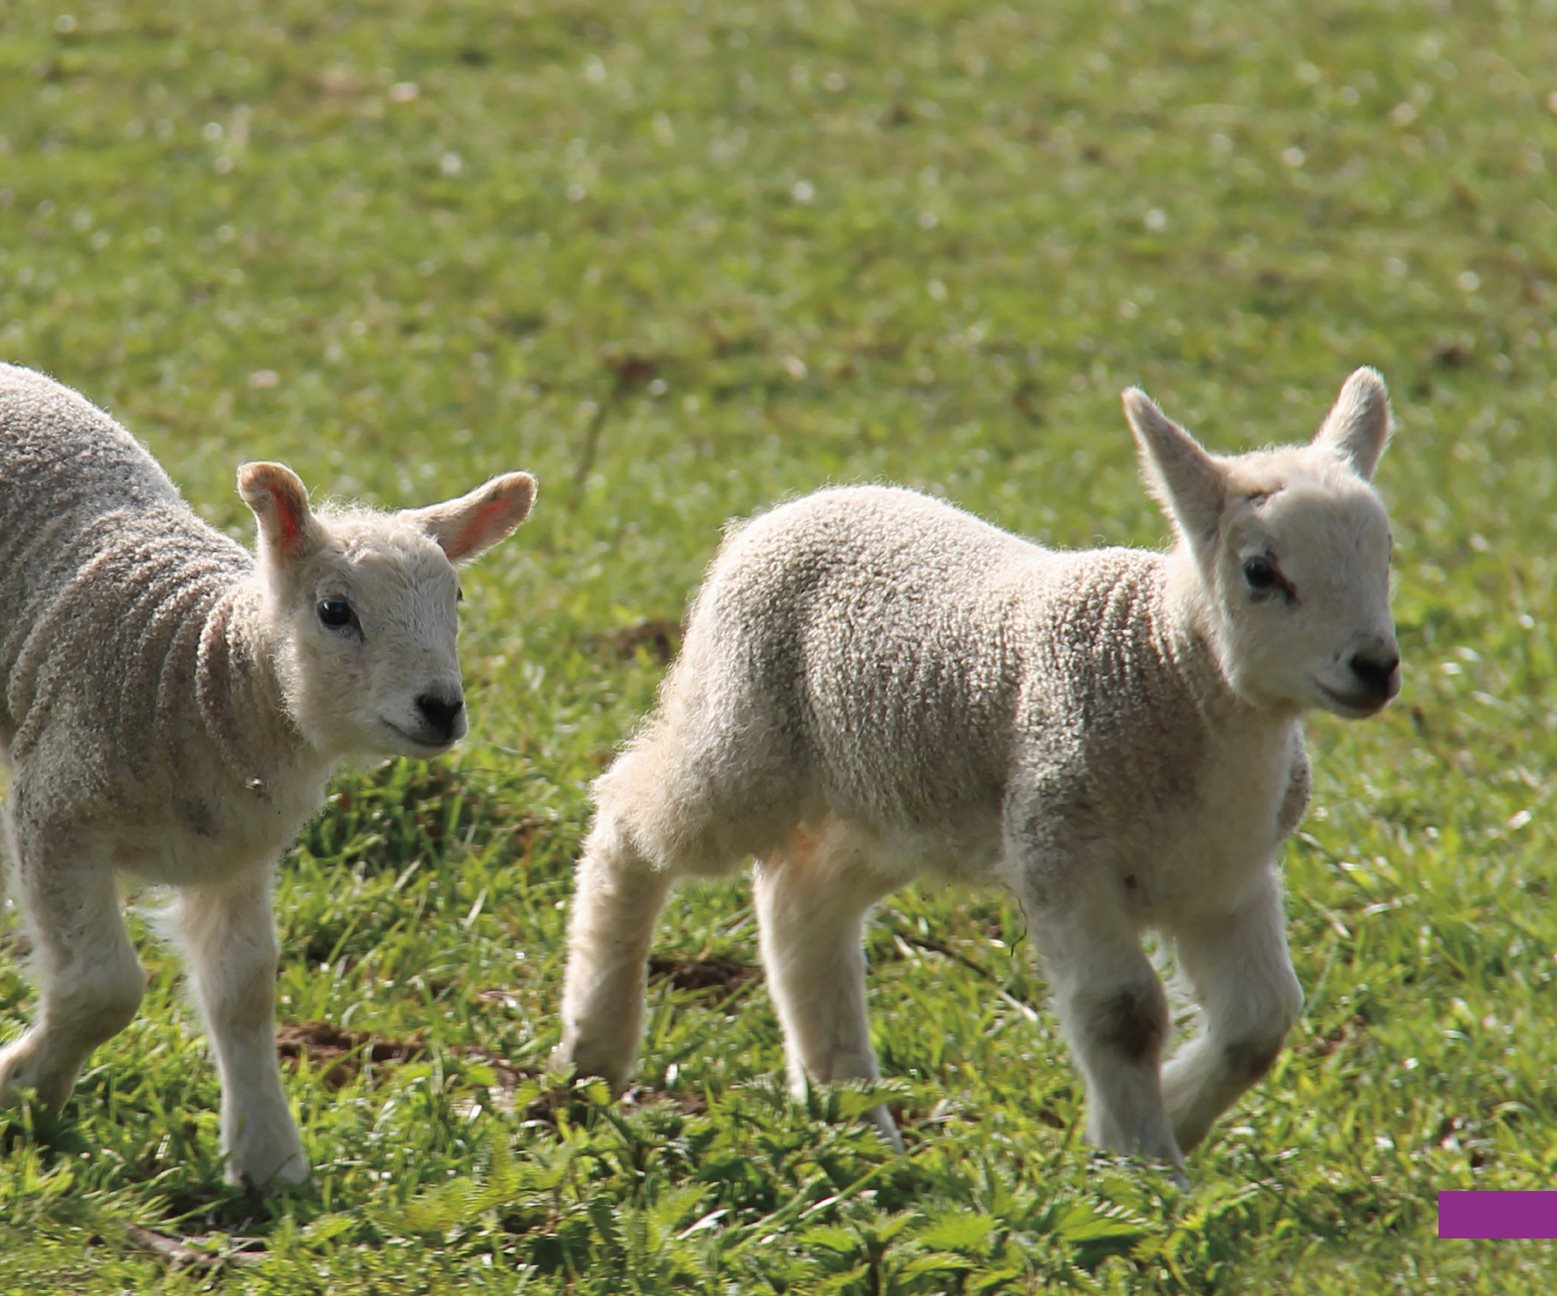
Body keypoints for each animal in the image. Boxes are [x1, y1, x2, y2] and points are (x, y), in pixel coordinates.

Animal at [0, 361, 535, 1183]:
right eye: (335, 610)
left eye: (458, 597)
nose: (442, 708)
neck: (199, 666)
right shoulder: (57, 807)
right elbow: (103, 988)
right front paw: (25, 1089)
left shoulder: (237, 848)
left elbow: (243, 991)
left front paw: (268, 1161)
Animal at [557, 367, 1401, 1183]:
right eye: (1260, 572)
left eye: (1386, 556)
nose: (1375, 667)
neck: (1170, 667)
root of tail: (785, 510)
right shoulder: (1058, 847)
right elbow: (1123, 1014)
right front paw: (1145, 1174)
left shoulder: (1225, 875)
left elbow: (1260, 1022)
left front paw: (1163, 1121)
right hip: (745, 730)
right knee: (629, 817)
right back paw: (595, 1050)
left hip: (884, 799)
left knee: (802, 904)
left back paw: (852, 1124)